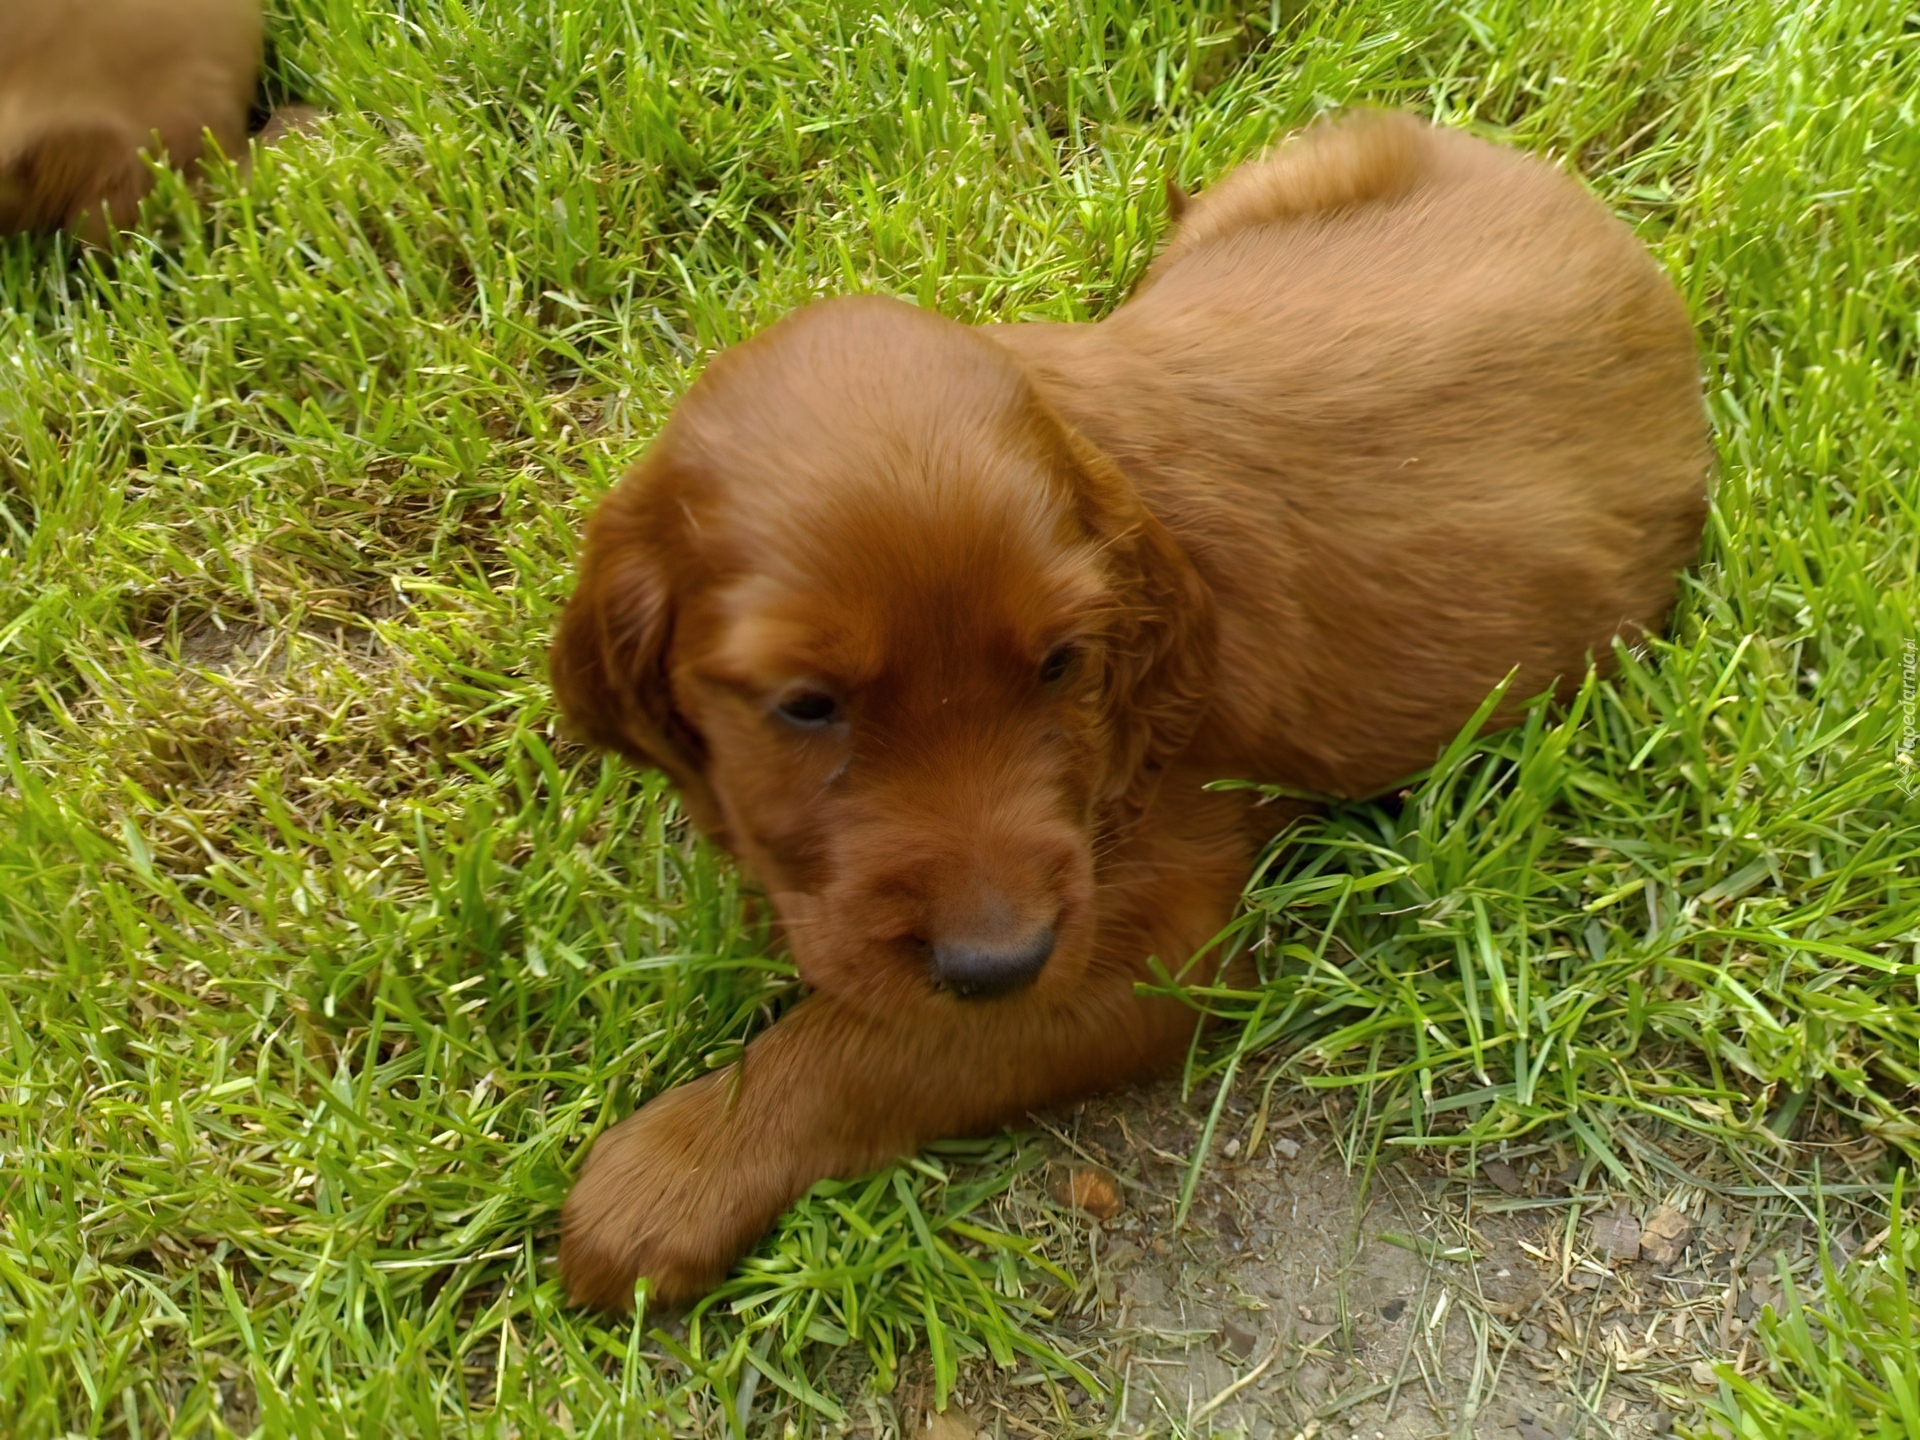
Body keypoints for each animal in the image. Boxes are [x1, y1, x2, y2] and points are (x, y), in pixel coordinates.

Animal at [552, 107, 1712, 1313]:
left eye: (1062, 664)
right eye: (805, 706)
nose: (998, 963)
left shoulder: (1157, 942)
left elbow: (866, 1046)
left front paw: (669, 1173)